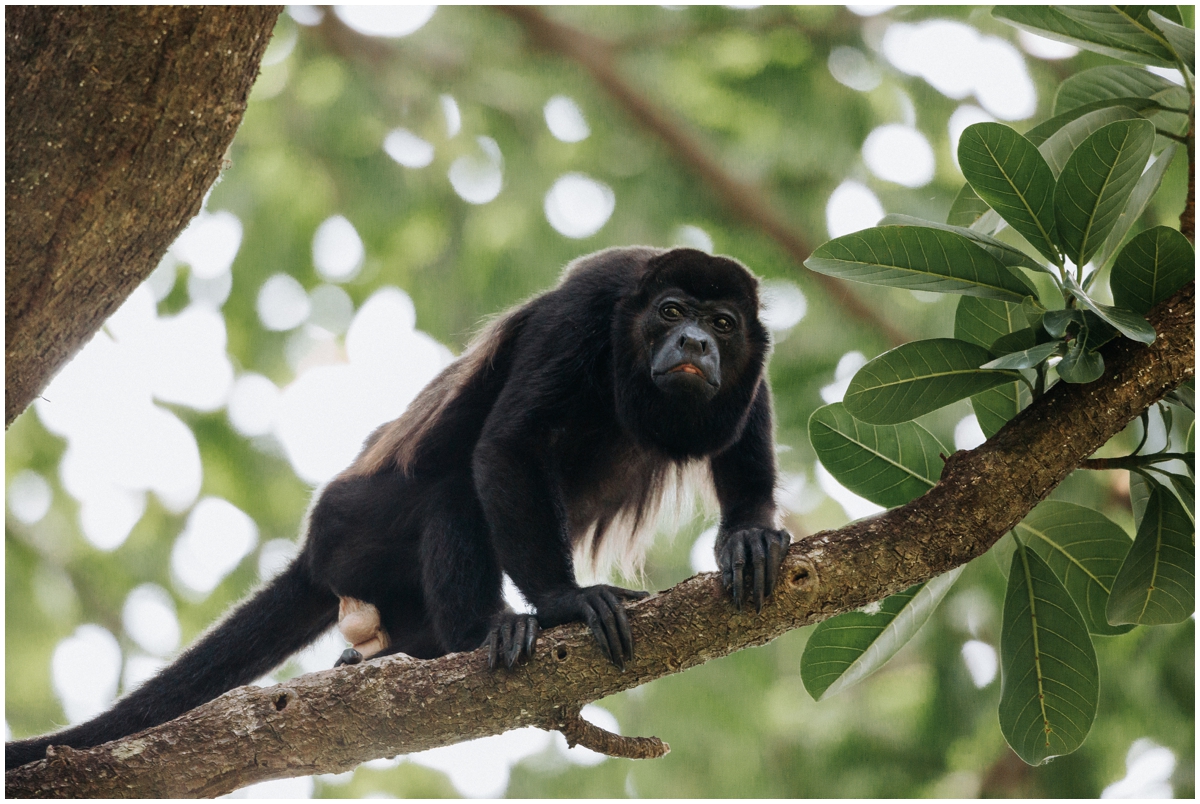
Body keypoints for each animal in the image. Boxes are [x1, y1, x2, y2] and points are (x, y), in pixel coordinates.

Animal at [11, 248, 796, 772]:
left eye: (723, 323)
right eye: (672, 312)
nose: (694, 342)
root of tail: (314, 548)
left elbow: (747, 431)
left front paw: (750, 537)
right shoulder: (586, 308)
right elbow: (509, 445)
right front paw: (566, 602)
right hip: (354, 530)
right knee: (454, 487)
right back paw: (479, 633)